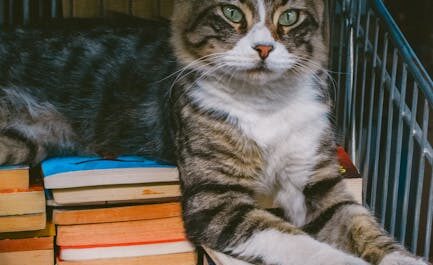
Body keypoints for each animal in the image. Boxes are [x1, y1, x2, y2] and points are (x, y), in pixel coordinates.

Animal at [0, 0, 426, 264]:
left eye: (289, 17)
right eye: (231, 12)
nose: (263, 48)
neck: (264, 103)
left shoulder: (318, 182)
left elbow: (362, 225)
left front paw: (405, 258)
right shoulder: (217, 200)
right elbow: (299, 242)